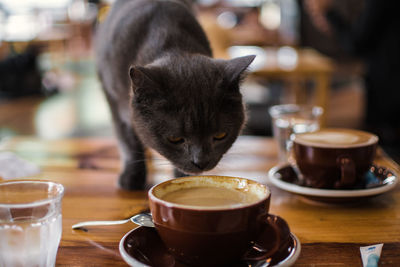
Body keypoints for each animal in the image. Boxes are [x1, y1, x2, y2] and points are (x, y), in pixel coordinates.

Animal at [95, 0, 255, 191]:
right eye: (175, 139)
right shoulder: (114, 101)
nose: (201, 162)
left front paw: (183, 178)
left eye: (220, 136)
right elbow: (128, 141)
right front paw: (131, 180)